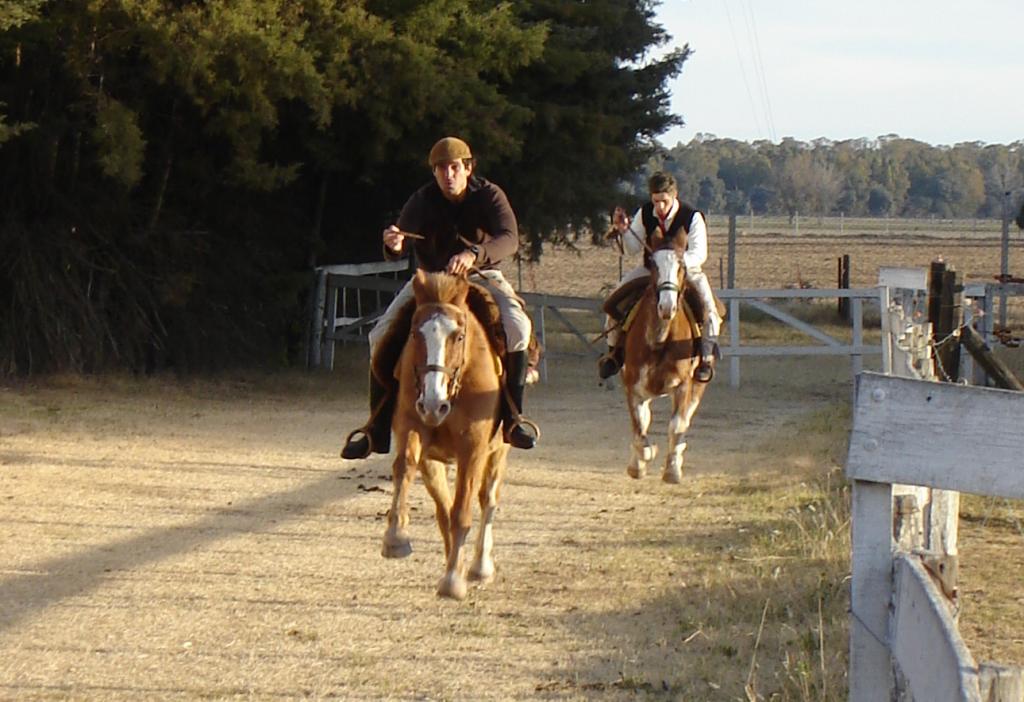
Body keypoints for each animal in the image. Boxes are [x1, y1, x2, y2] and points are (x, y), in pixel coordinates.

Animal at [380, 270, 507, 597]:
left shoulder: (472, 450)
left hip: (499, 451)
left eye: (458, 336)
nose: (433, 404)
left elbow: (462, 511)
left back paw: (480, 567)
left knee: (487, 500)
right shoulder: (414, 431)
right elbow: (408, 472)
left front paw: (452, 579)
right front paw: (396, 538)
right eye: (415, 334)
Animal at [618, 236, 708, 483]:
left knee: (684, 421)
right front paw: (640, 461)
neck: (660, 340)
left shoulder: (683, 385)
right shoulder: (633, 385)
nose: (666, 306)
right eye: (653, 263)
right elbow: (639, 427)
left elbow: (676, 426)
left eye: (681, 266)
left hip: (697, 387)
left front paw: (672, 469)